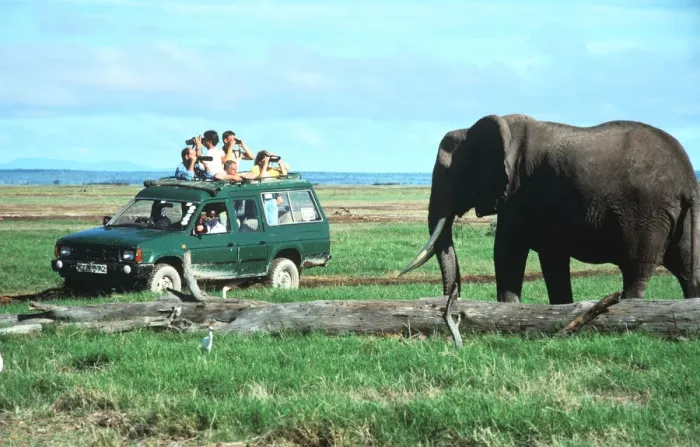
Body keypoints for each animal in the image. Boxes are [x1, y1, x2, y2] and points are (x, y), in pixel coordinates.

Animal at [401, 114, 700, 307]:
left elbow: (508, 251)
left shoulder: (520, 192)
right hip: (680, 217)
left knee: (637, 270)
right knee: (689, 271)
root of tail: (688, 177)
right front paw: (560, 309)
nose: (453, 300)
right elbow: (551, 259)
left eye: (449, 174)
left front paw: (509, 308)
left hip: (647, 214)